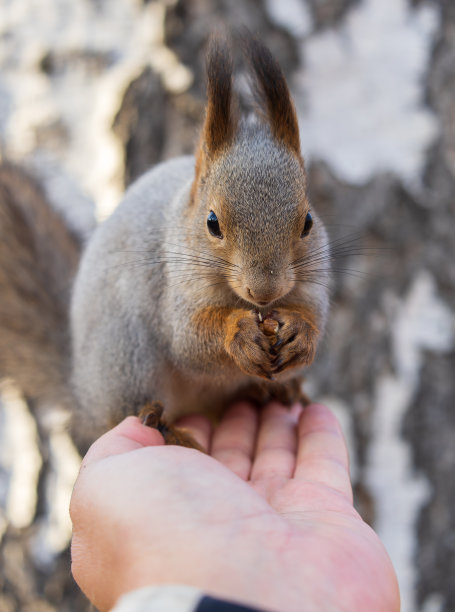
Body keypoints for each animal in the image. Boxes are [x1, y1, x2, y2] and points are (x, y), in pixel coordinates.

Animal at [0, 34, 330, 450]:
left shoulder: (313, 279)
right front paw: (237, 332)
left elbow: (314, 316)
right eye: (212, 223)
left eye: (307, 222)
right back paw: (163, 427)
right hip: (126, 353)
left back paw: (275, 390)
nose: (265, 291)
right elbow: (188, 339)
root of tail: (82, 390)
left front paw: (301, 334)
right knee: (124, 409)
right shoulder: (173, 285)